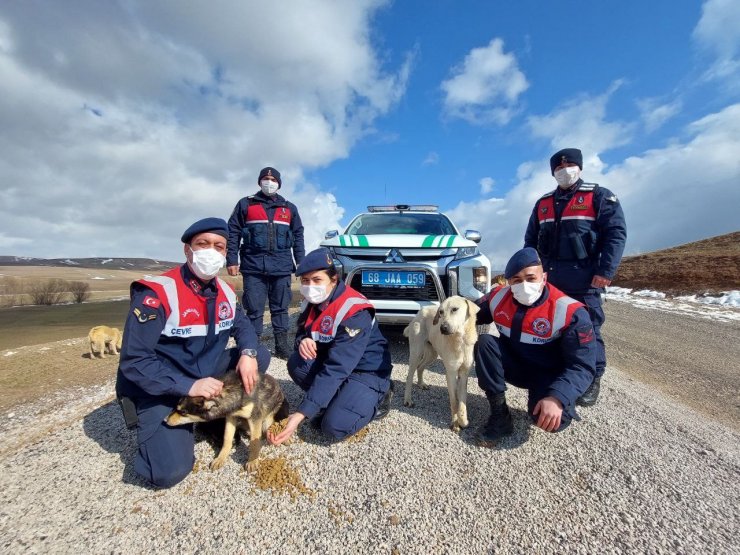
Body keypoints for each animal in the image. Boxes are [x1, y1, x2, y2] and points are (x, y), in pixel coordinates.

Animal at [404, 298, 480, 432]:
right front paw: (455, 423)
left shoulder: (464, 374)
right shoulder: (450, 373)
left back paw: (421, 384)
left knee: (420, 367)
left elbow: (462, 400)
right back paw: (408, 399)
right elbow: (454, 401)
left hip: (432, 354)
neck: (460, 340)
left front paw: (463, 420)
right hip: (416, 353)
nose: (442, 328)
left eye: (455, 309)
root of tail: (421, 311)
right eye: (441, 312)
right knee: (410, 375)